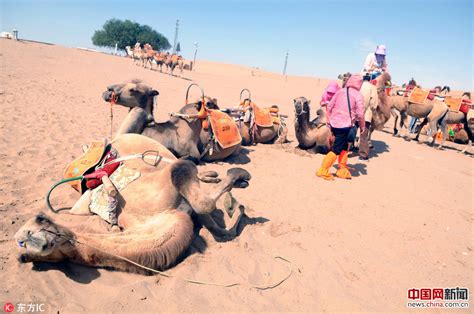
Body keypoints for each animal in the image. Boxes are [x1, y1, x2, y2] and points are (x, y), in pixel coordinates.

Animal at [14, 134, 252, 274]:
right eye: (24, 250)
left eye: (39, 220)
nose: (23, 238)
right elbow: (217, 224)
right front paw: (237, 198)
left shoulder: (173, 181)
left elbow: (204, 202)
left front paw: (239, 177)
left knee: (185, 162)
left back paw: (218, 175)